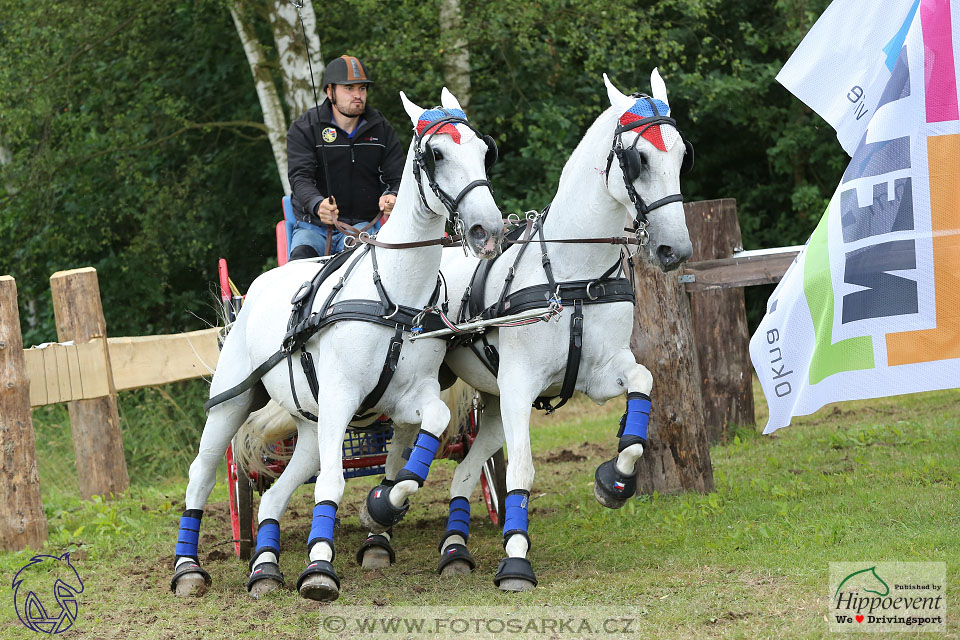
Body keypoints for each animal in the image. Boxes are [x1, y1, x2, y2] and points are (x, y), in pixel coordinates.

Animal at [171, 87, 502, 604]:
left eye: (485, 150)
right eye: (436, 154)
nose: (488, 230)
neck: (393, 295)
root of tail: (253, 292)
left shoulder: (407, 398)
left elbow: (424, 436)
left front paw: (381, 509)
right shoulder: (342, 397)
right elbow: (331, 482)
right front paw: (320, 568)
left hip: (310, 423)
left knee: (275, 492)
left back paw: (265, 569)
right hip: (231, 404)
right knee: (203, 474)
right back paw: (188, 567)